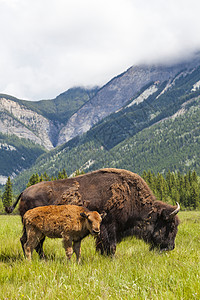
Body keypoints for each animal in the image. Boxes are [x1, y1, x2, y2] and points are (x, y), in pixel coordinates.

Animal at [5, 168, 180, 256]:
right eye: (170, 226)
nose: (171, 247)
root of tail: (24, 192)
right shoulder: (109, 227)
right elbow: (111, 246)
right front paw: (110, 259)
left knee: (31, 242)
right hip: (34, 228)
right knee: (29, 242)